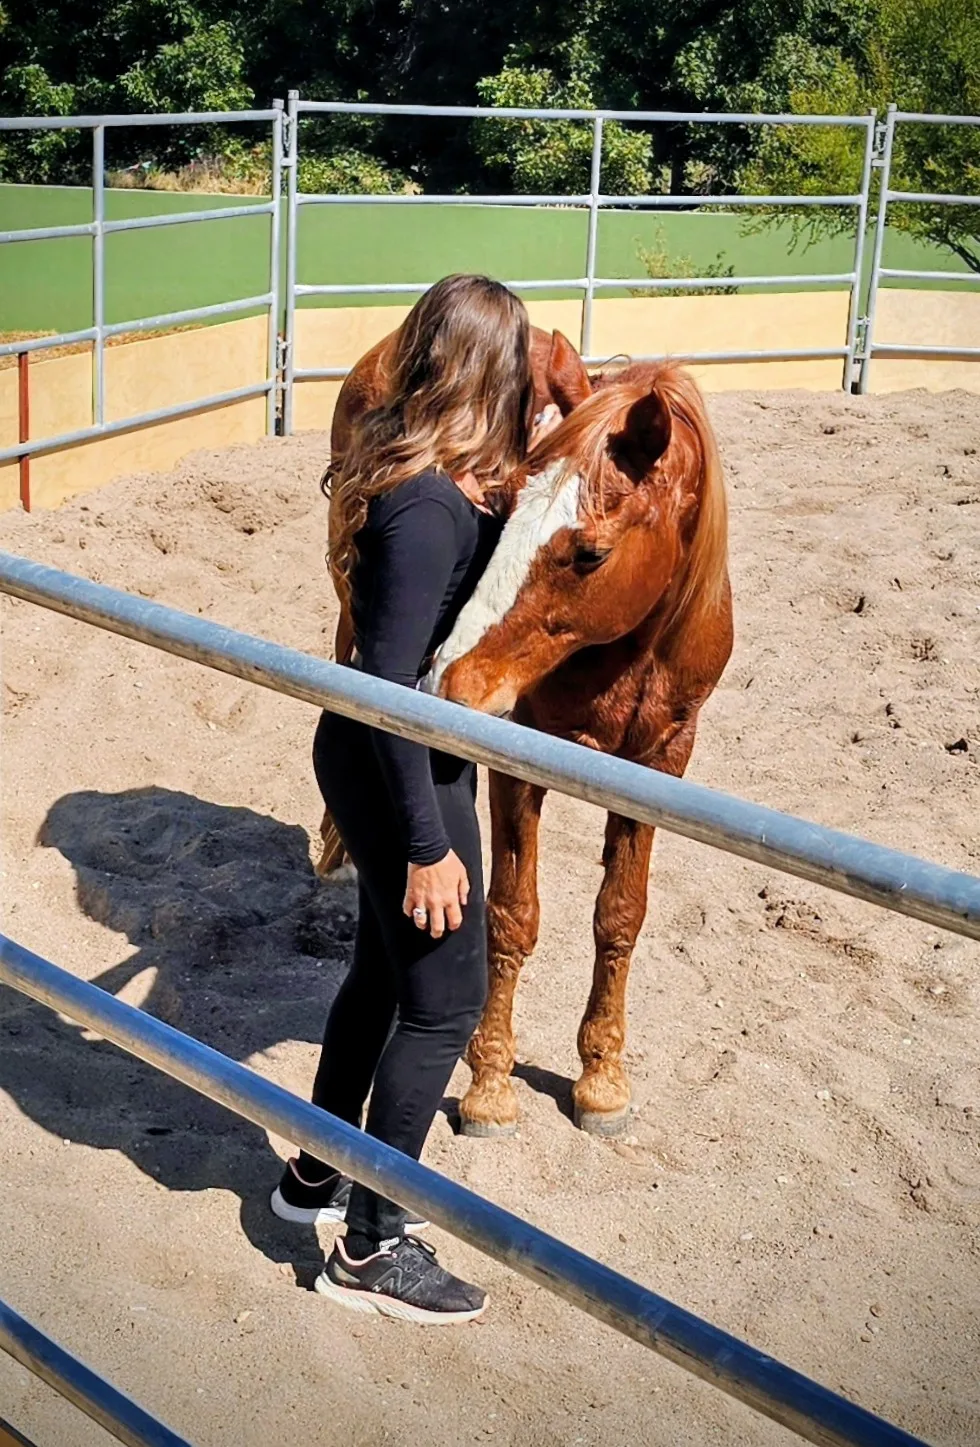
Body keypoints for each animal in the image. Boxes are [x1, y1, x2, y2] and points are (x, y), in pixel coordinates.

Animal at [424, 354, 733, 1137]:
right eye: (500, 508)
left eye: (590, 553)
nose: (452, 680)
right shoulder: (514, 756)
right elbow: (512, 912)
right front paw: (490, 1084)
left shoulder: (661, 763)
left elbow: (619, 914)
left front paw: (602, 1078)